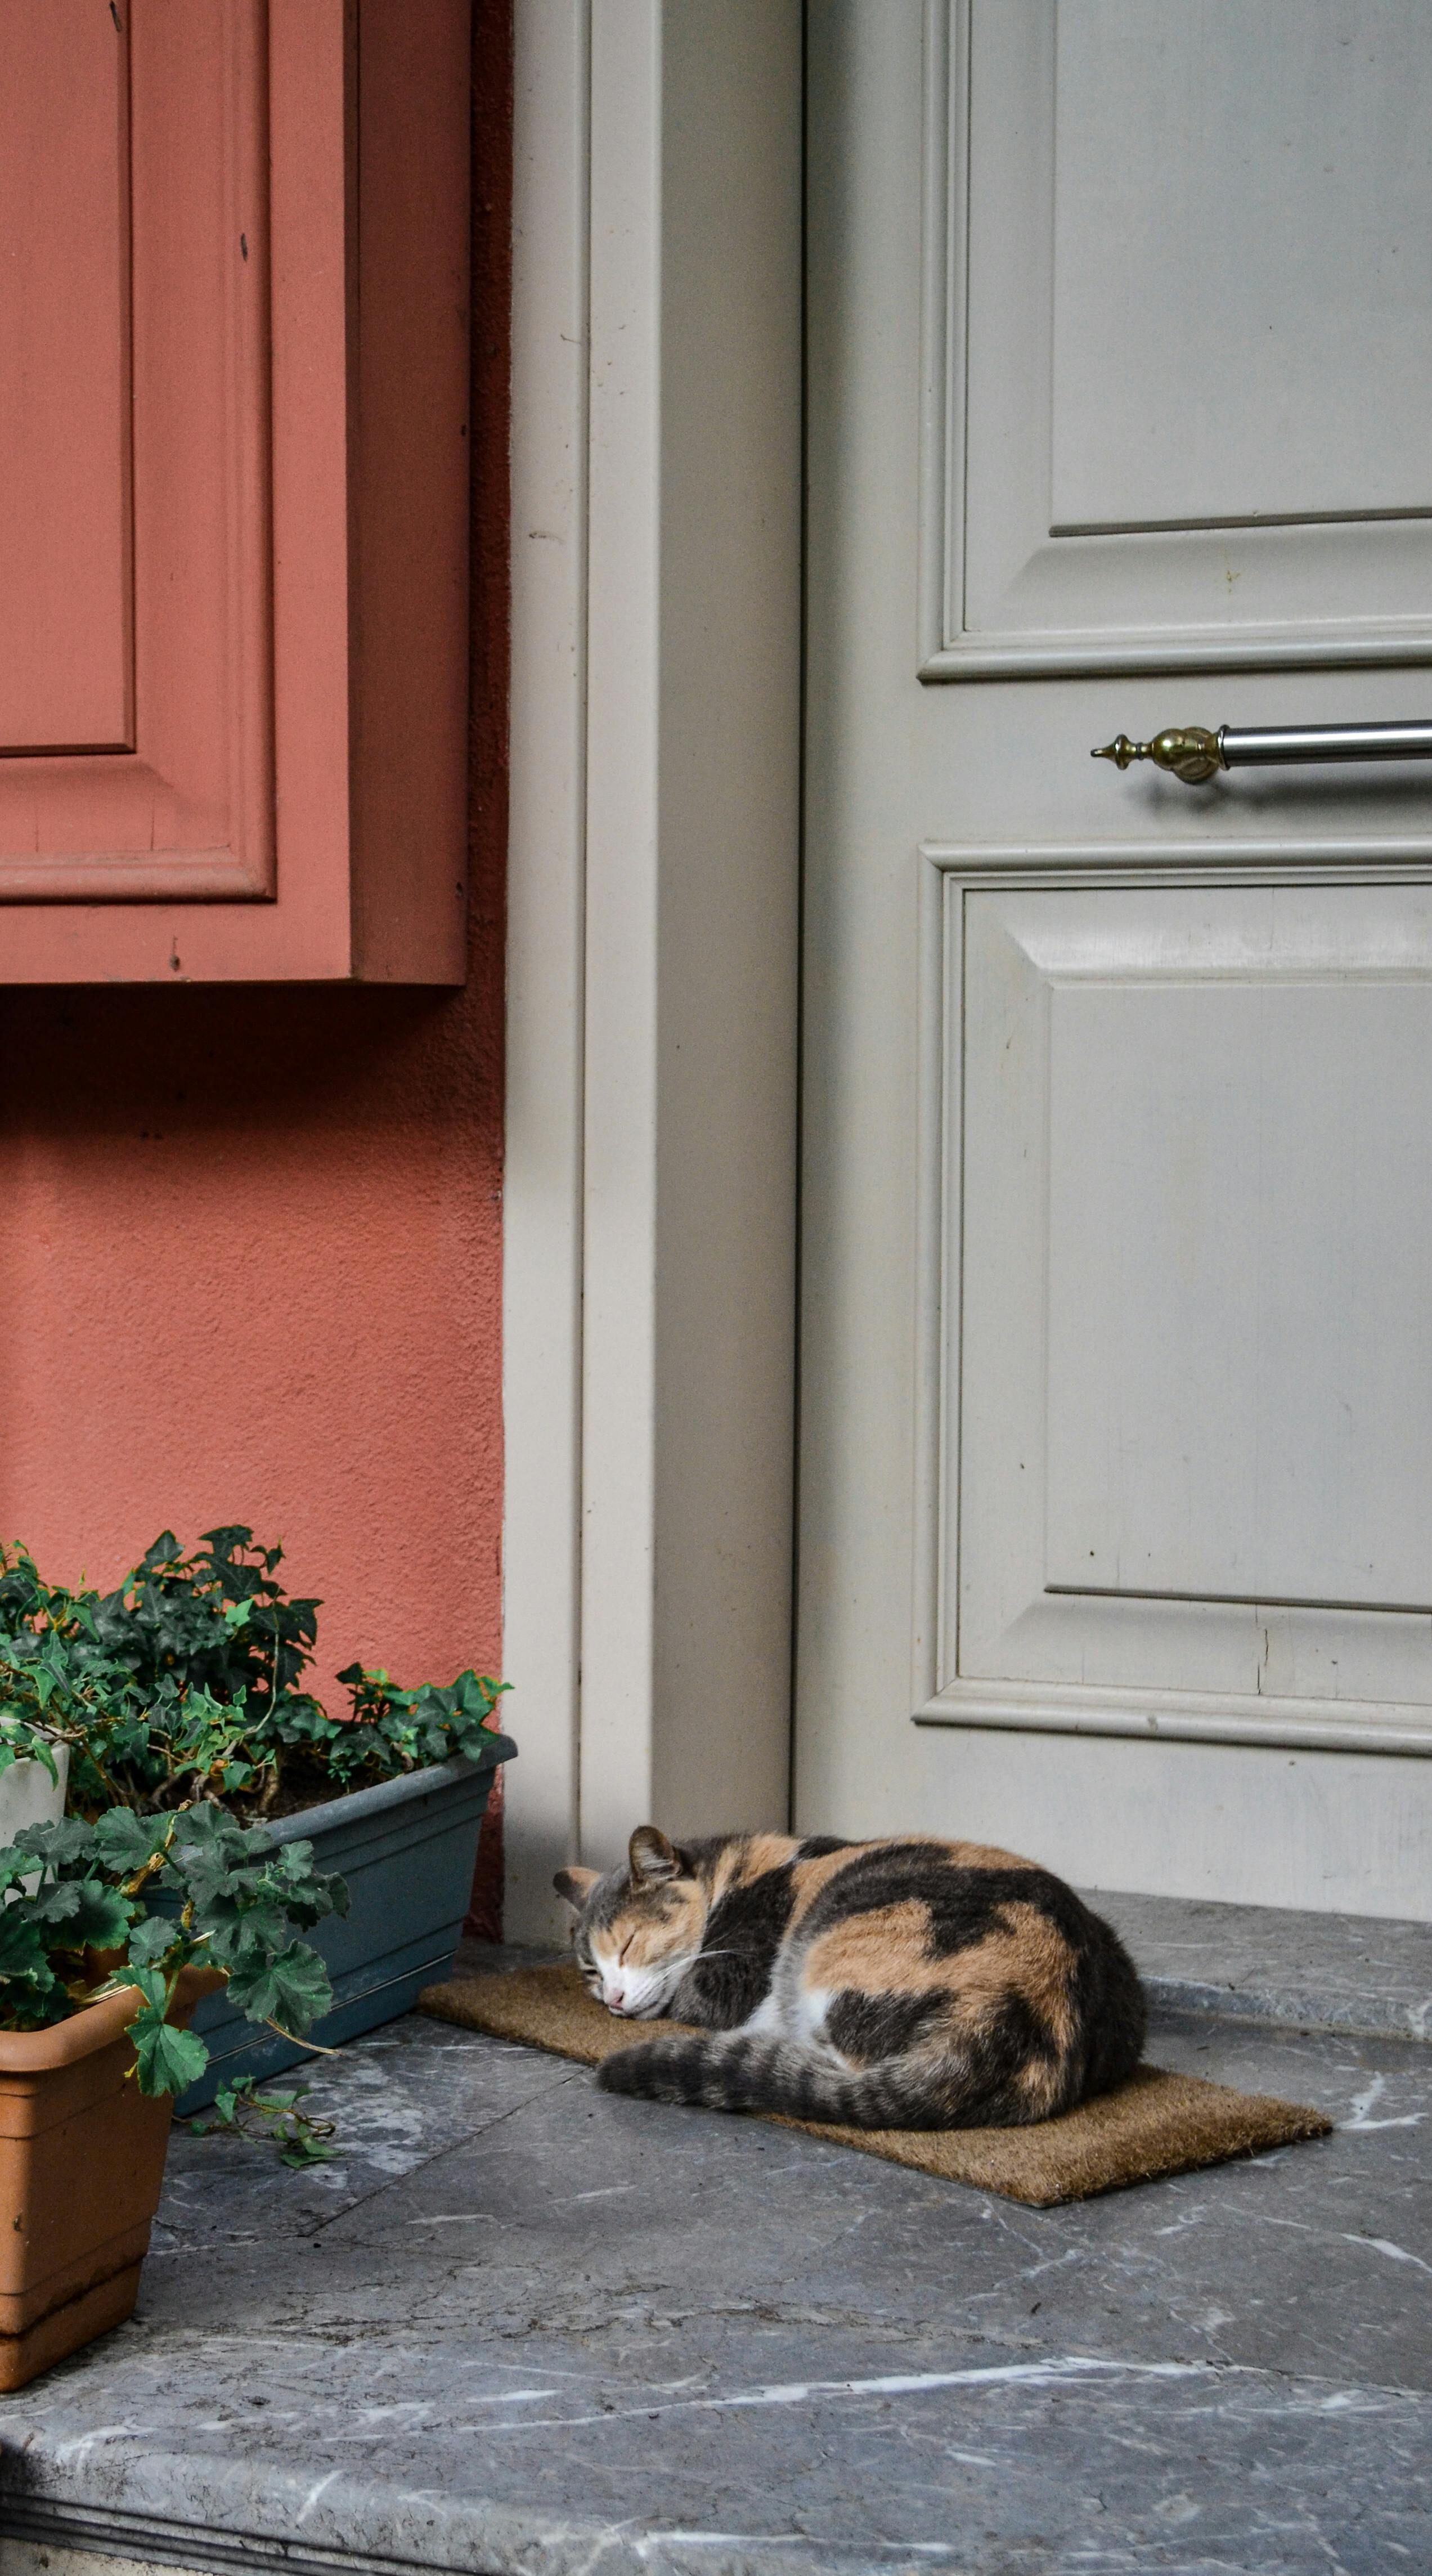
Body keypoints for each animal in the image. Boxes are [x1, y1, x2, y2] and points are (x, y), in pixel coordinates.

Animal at [554, 1834, 1148, 2133]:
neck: (728, 1873)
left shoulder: (730, 1975)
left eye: (629, 1943)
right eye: (591, 1970)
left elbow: (690, 1998)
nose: (613, 1998)